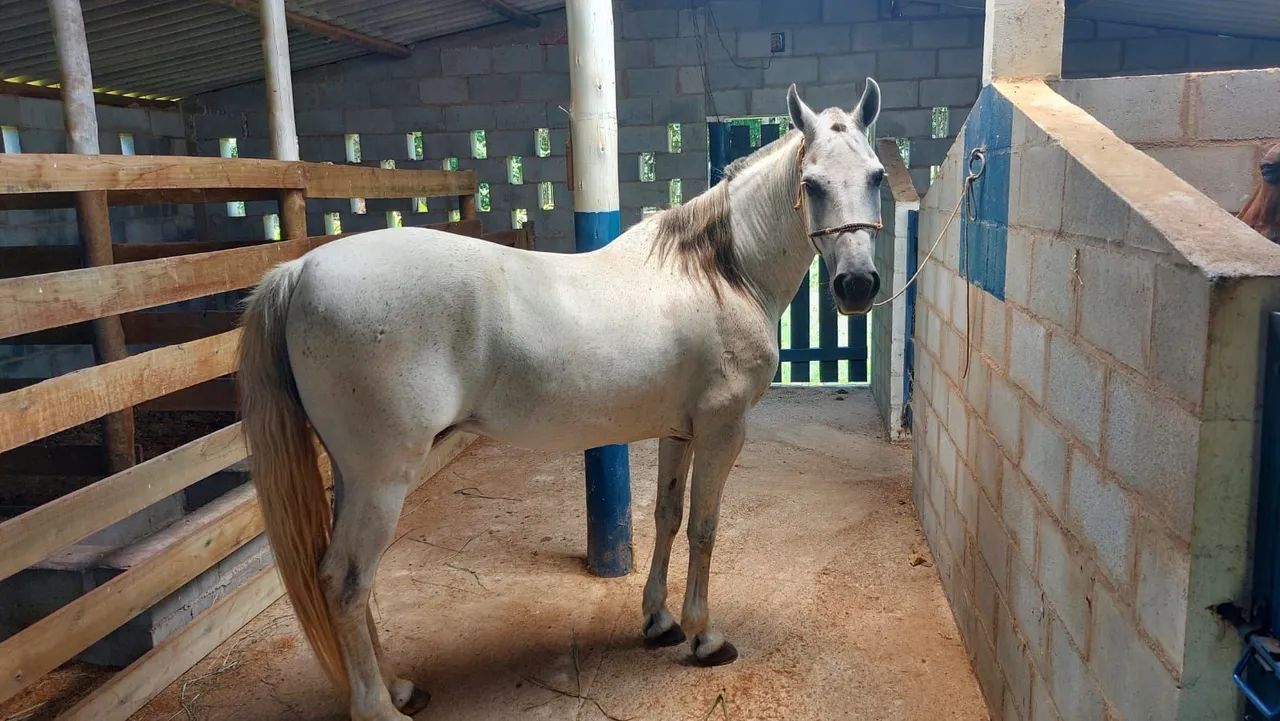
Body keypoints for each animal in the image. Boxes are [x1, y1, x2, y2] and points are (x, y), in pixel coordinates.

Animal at [238, 81, 885, 721]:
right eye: (812, 184)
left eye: (877, 176)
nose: (858, 287)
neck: (720, 272)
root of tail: (300, 269)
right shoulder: (723, 429)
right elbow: (704, 527)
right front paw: (704, 636)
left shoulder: (679, 431)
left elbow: (668, 517)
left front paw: (659, 621)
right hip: (383, 477)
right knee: (346, 581)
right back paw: (379, 707)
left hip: (353, 475)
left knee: (346, 580)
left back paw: (398, 687)